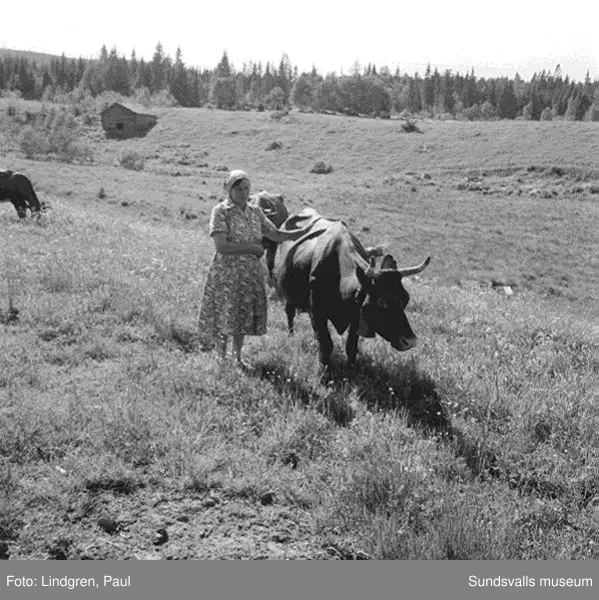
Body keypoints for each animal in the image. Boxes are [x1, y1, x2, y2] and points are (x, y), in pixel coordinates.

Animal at [272, 209, 432, 370]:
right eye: (381, 301)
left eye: (406, 299)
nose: (410, 341)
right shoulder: (317, 313)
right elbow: (326, 344)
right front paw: (324, 370)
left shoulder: (356, 316)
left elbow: (351, 346)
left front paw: (351, 369)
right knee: (289, 312)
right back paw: (291, 335)